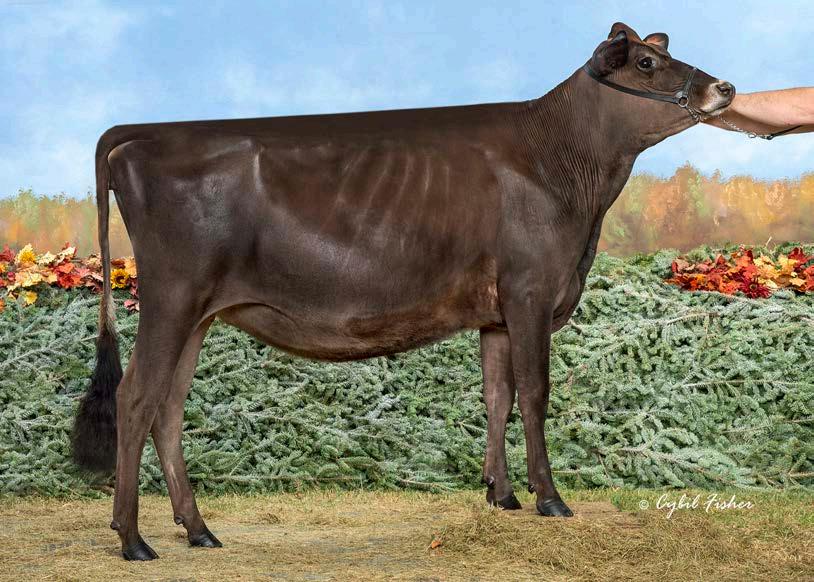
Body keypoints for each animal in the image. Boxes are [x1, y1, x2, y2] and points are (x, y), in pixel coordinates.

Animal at [71, 22, 734, 560]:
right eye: (645, 63)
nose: (723, 88)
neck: (568, 174)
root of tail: (143, 136)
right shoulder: (530, 293)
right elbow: (535, 395)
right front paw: (549, 498)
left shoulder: (496, 314)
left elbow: (497, 398)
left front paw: (502, 496)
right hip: (171, 298)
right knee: (136, 398)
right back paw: (132, 538)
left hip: (199, 312)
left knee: (169, 408)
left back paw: (198, 530)